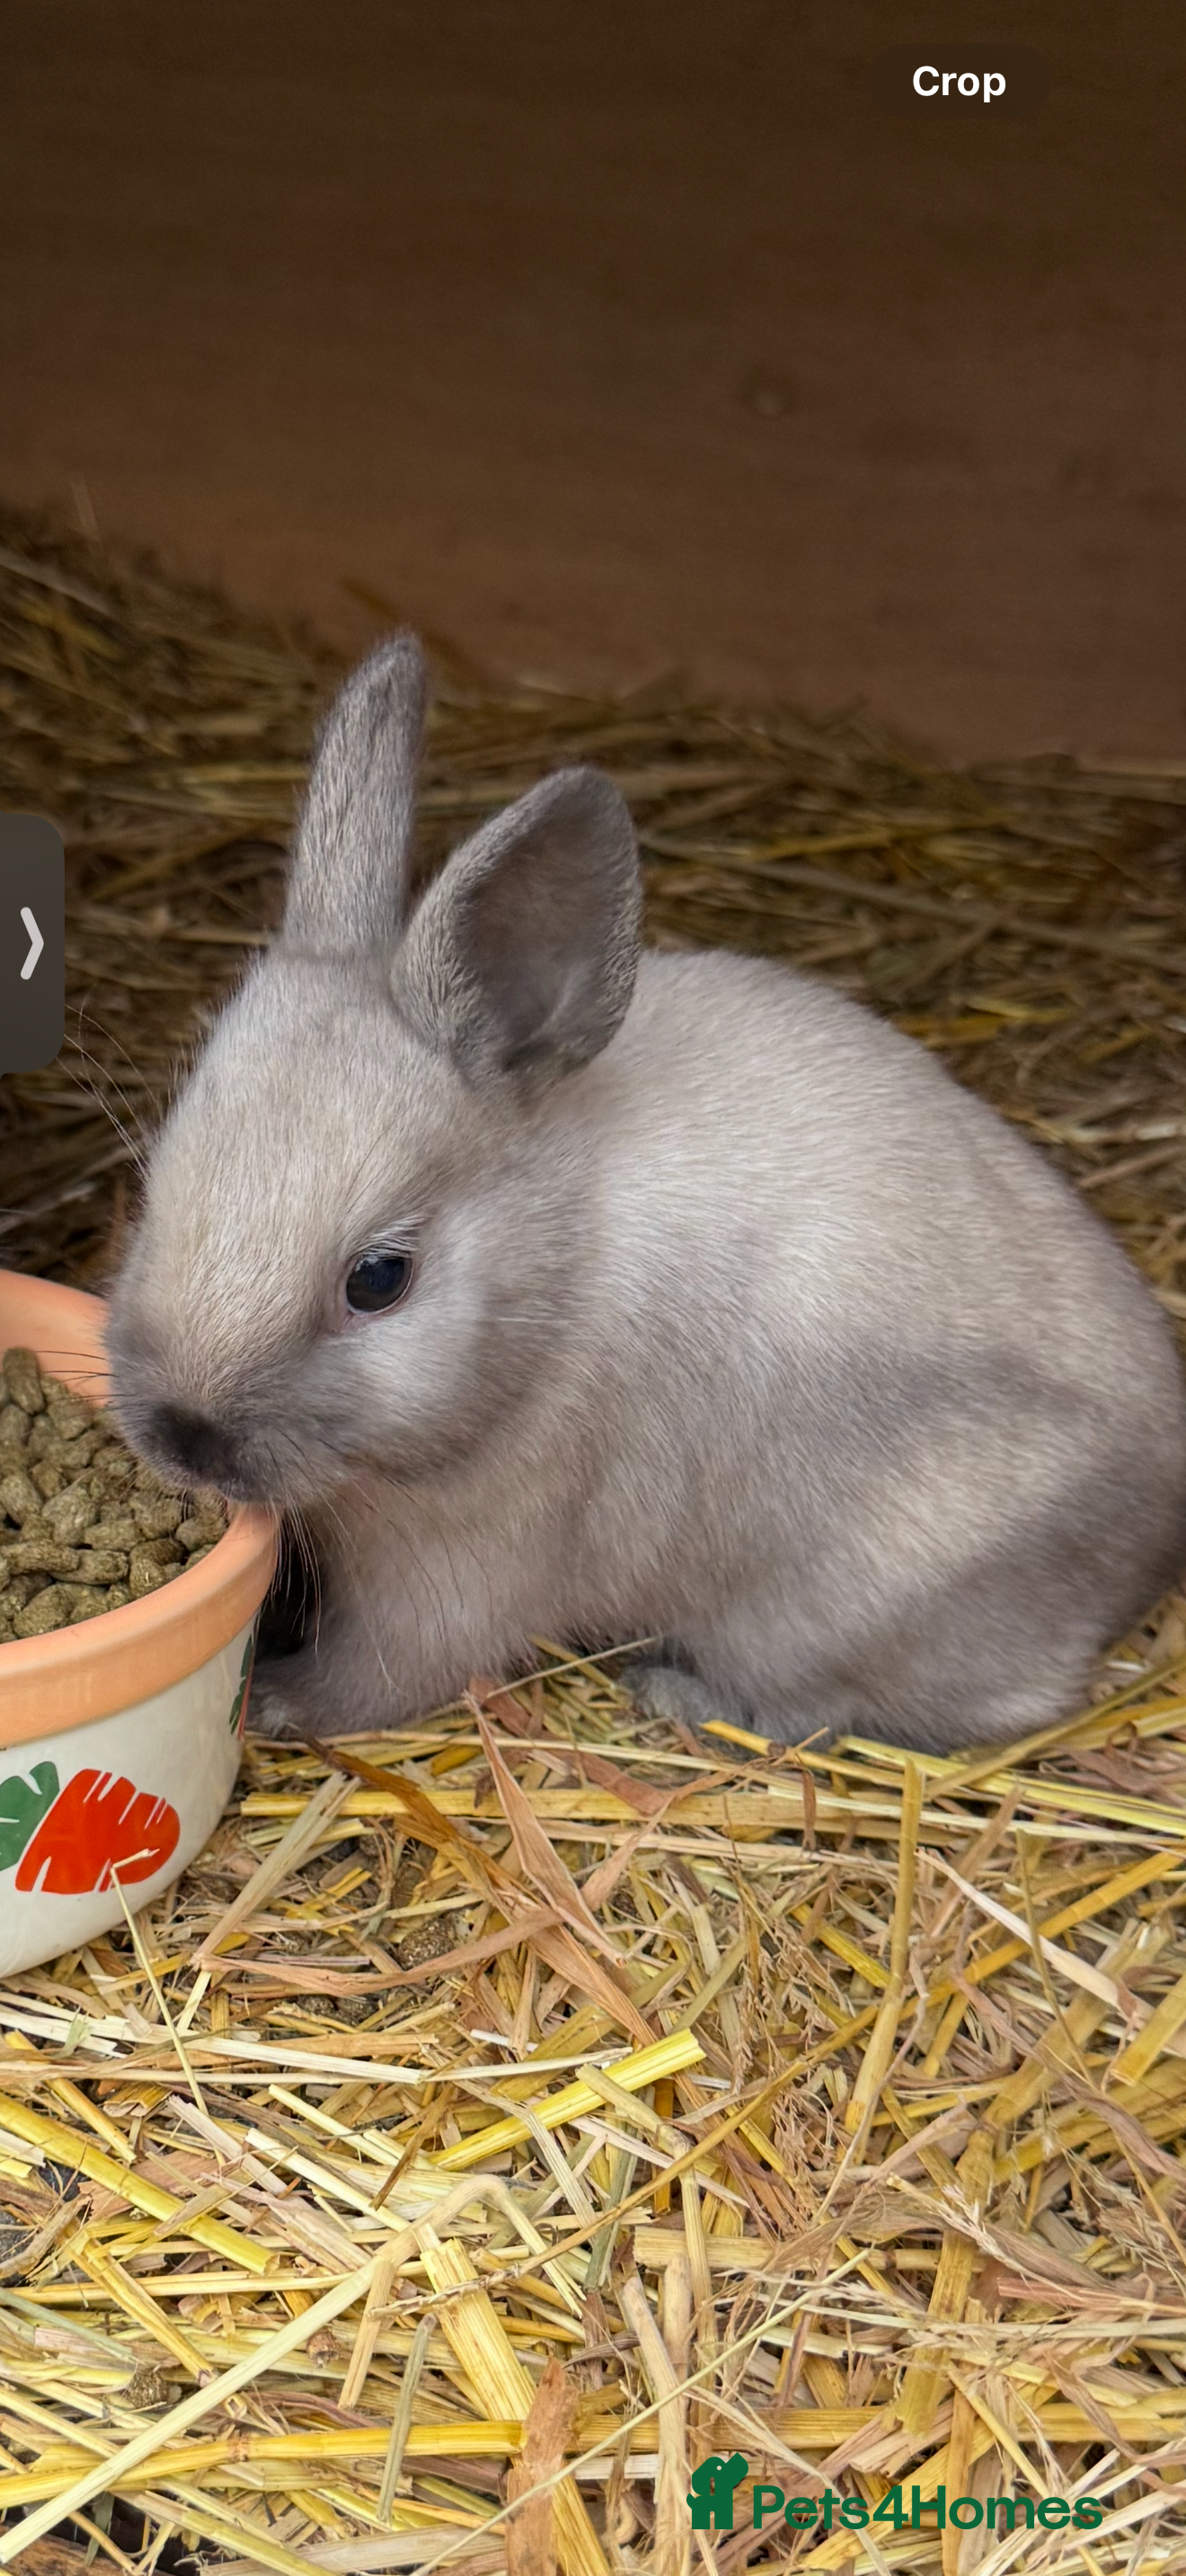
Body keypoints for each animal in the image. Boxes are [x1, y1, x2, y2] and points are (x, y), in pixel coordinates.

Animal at [106, 634, 1186, 1753]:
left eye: (380, 1280)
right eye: (154, 1195)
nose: (185, 1435)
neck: (550, 1278)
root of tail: (1156, 1540)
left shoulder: (465, 1565)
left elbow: (383, 1674)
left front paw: (277, 1701)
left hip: (842, 1607)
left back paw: (680, 1695)